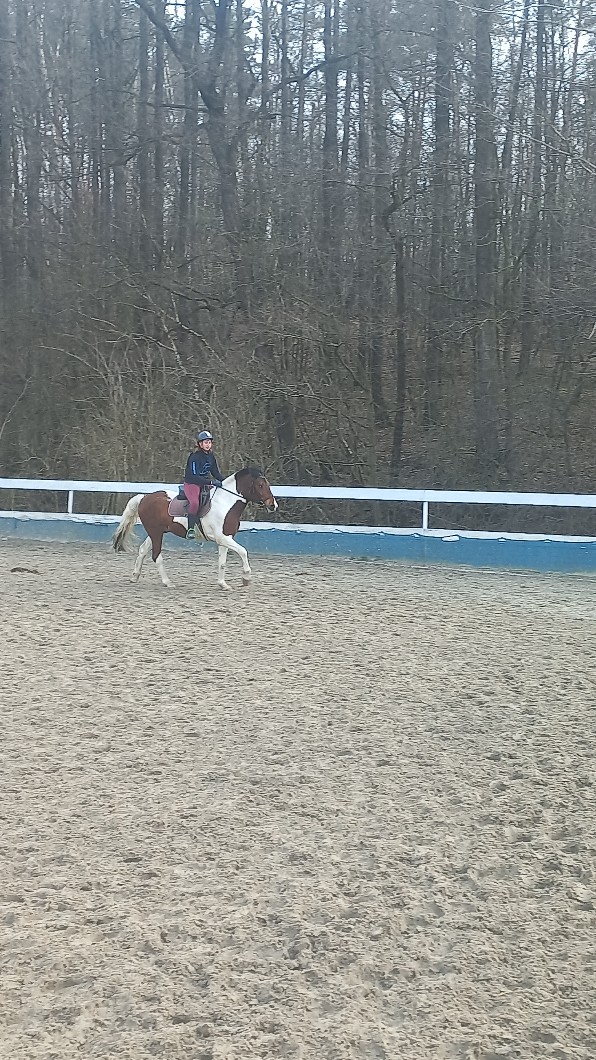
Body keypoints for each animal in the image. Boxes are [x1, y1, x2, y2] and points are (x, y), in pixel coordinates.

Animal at [112, 467, 278, 590]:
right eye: (260, 485)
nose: (273, 505)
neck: (225, 502)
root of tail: (144, 497)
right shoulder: (222, 538)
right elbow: (243, 551)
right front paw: (246, 578)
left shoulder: (225, 538)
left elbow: (222, 562)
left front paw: (223, 584)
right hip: (156, 533)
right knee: (156, 556)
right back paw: (168, 582)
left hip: (156, 532)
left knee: (142, 550)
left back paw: (135, 576)